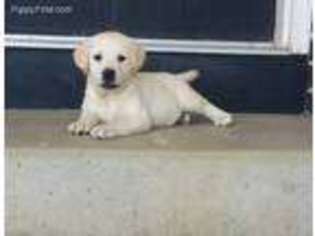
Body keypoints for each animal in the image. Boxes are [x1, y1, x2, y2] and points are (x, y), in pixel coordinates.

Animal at [68, 31, 232, 138]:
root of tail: (176, 77)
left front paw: (104, 127)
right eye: (97, 57)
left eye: (121, 58)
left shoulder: (138, 117)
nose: (108, 72)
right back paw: (181, 118)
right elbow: (88, 116)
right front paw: (80, 124)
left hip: (187, 98)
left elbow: (120, 122)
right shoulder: (90, 109)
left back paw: (222, 117)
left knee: (205, 104)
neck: (109, 95)